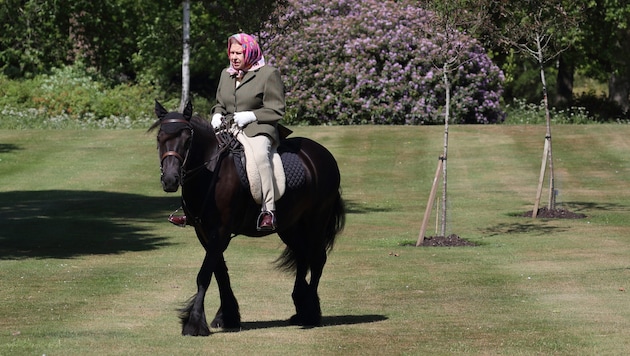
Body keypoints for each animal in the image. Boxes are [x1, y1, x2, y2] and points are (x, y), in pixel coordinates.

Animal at [149, 101, 346, 336]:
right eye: (159, 138)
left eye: (188, 139)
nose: (170, 180)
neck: (211, 171)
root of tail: (322, 154)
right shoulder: (204, 232)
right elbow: (220, 272)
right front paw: (227, 316)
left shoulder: (220, 231)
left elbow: (205, 274)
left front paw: (194, 322)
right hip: (290, 226)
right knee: (302, 256)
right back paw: (300, 307)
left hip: (316, 220)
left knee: (317, 259)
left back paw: (310, 313)